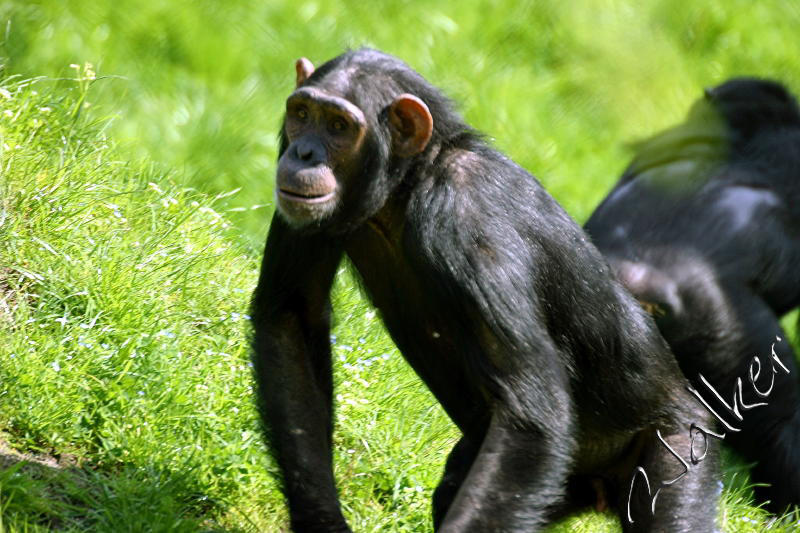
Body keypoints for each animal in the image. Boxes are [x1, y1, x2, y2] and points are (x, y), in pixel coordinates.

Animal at [250, 50, 720, 532]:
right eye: (302, 114)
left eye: (339, 126)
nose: (304, 152)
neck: (408, 184)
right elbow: (291, 316)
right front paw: (320, 519)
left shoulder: (470, 228)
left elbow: (530, 417)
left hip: (680, 446)